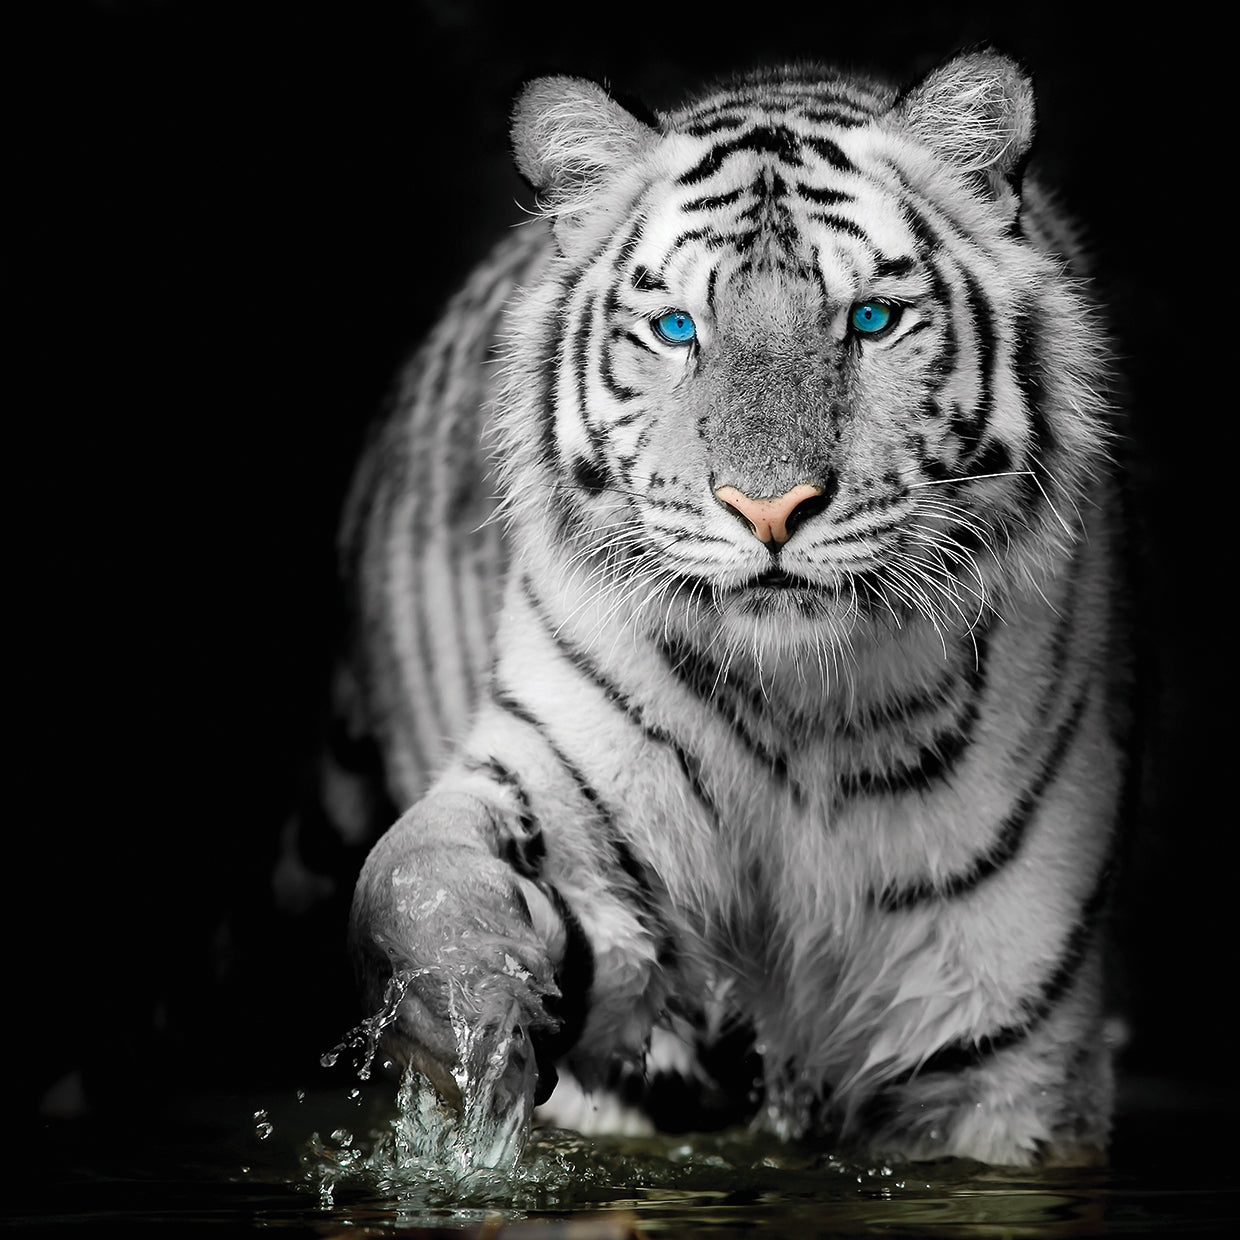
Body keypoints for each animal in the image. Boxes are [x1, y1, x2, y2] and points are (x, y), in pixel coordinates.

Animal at [328, 48, 1129, 1168]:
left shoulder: (1004, 1056)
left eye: (870, 320)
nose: (770, 508)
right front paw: (473, 1013)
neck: (804, 707)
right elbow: (413, 877)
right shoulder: (561, 781)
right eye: (676, 330)